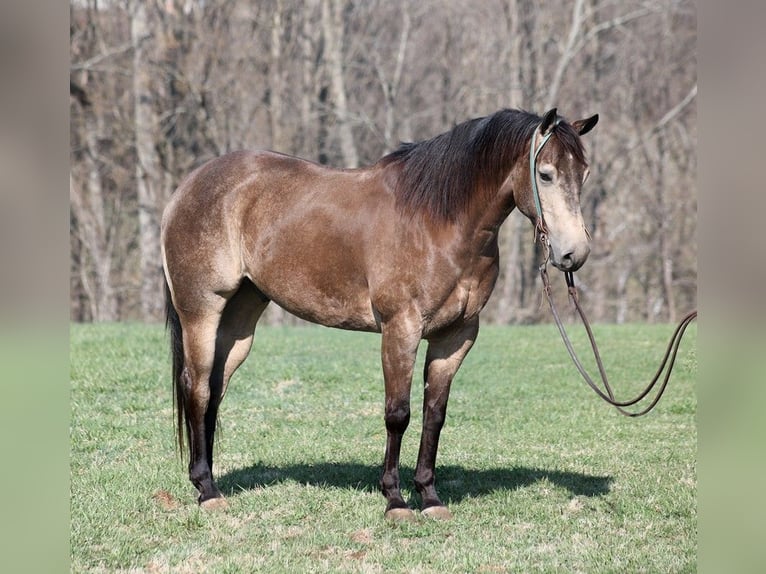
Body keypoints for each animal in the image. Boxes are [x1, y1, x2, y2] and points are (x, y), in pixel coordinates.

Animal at [164, 107, 600, 520]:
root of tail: (187, 188)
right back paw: (207, 491)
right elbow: (398, 414)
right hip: (202, 310)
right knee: (197, 386)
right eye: (545, 174)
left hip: (240, 319)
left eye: (583, 173)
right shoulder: (400, 329)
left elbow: (434, 415)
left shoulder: (456, 337)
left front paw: (429, 496)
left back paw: (208, 481)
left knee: (215, 389)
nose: (574, 254)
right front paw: (395, 500)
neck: (438, 222)